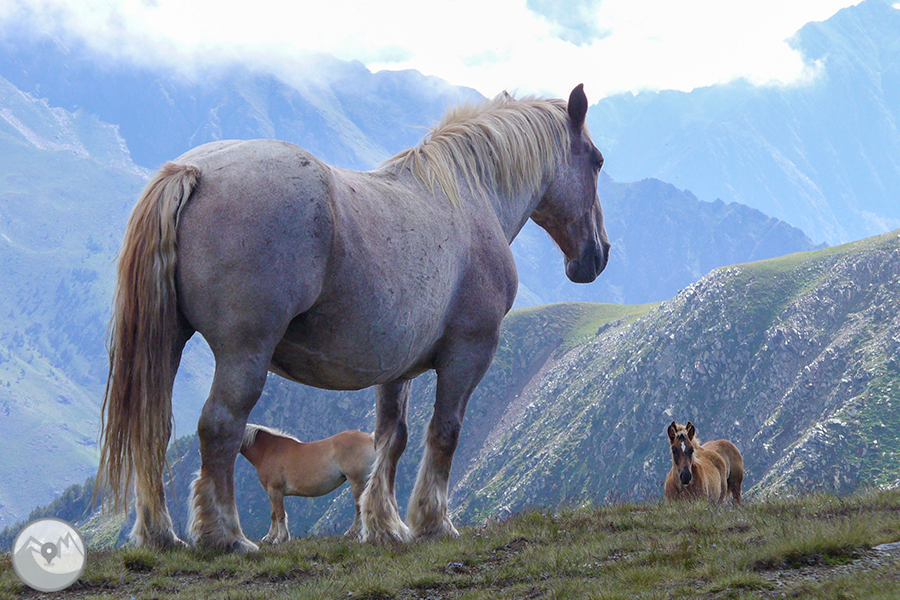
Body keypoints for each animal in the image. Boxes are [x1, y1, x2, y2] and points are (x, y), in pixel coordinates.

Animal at [239, 424, 375, 544]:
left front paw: (280, 539)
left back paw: (351, 533)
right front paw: (269, 538)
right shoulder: (272, 491)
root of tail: (369, 437)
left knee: (359, 507)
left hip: (357, 482)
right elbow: (273, 515)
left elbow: (280, 514)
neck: (268, 450)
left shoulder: (275, 490)